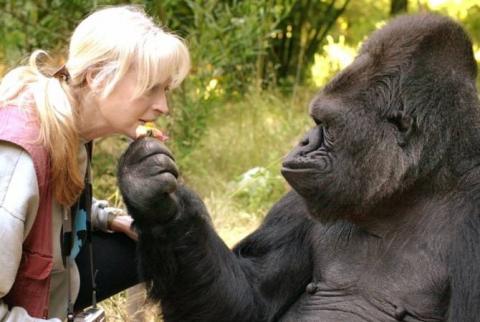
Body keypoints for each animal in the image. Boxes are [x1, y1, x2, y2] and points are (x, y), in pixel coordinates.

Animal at [118, 13, 480, 322]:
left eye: (327, 125)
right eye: (315, 121)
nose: (303, 142)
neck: (413, 189)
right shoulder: (300, 202)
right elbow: (249, 302)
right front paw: (155, 199)